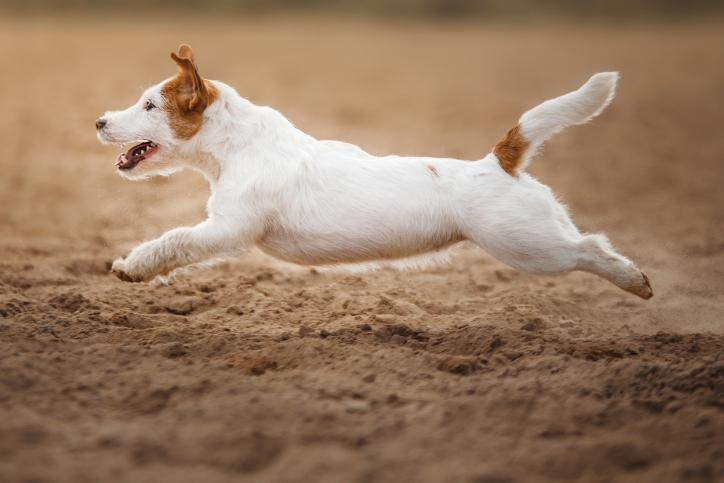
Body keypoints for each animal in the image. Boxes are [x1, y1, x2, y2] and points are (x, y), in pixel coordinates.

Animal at [93, 46, 652, 302]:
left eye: (149, 105)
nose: (99, 121)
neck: (239, 146)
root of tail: (500, 161)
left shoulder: (228, 229)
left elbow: (173, 241)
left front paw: (131, 267)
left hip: (530, 246)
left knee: (590, 249)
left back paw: (636, 281)